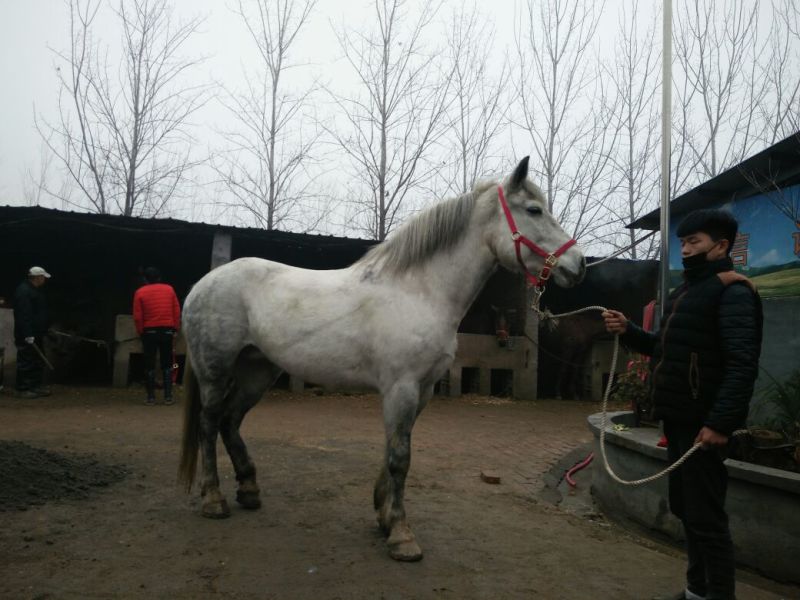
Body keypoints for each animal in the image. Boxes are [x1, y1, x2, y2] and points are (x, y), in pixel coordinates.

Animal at [177, 157, 586, 561]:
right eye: (533, 210)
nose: (578, 263)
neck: (418, 292)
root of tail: (204, 284)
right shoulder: (401, 388)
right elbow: (400, 458)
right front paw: (402, 536)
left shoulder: (421, 390)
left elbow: (394, 448)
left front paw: (383, 516)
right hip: (215, 372)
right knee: (209, 423)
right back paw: (213, 500)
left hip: (257, 371)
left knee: (230, 421)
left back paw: (249, 491)